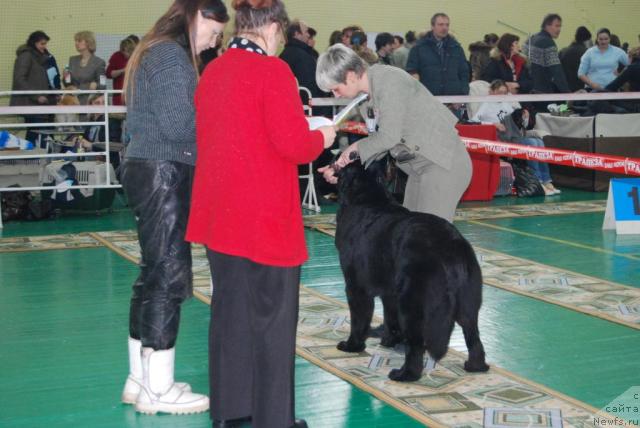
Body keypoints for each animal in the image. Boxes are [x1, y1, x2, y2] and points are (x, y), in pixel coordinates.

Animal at [332, 161, 488, 382]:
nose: (351, 155)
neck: (366, 197)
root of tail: (450, 246)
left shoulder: (356, 287)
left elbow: (359, 319)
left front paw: (352, 346)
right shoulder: (389, 291)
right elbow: (390, 316)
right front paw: (389, 340)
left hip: (412, 303)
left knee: (416, 344)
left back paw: (405, 374)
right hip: (468, 300)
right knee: (473, 335)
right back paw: (475, 366)